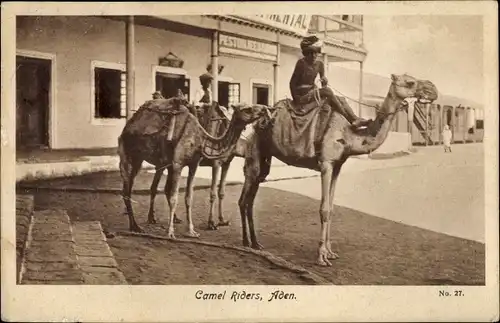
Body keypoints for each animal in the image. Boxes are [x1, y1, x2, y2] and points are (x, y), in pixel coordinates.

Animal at [118, 97, 268, 239]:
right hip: (129, 155)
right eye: (247, 109)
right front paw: (171, 232)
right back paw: (136, 226)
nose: (264, 110)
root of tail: (128, 125)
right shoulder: (179, 164)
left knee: (158, 188)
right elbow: (177, 197)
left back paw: (161, 219)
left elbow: (189, 197)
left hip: (159, 162)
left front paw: (191, 230)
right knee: (128, 190)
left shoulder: (194, 164)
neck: (200, 139)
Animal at [238, 74, 438, 268]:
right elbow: (324, 209)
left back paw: (255, 243)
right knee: (243, 198)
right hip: (254, 153)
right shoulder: (326, 163)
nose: (433, 89)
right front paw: (321, 257)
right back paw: (245, 242)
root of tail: (256, 125)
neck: (349, 134)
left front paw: (330, 252)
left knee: (251, 198)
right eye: (410, 82)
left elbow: (332, 208)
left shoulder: (337, 166)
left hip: (265, 159)